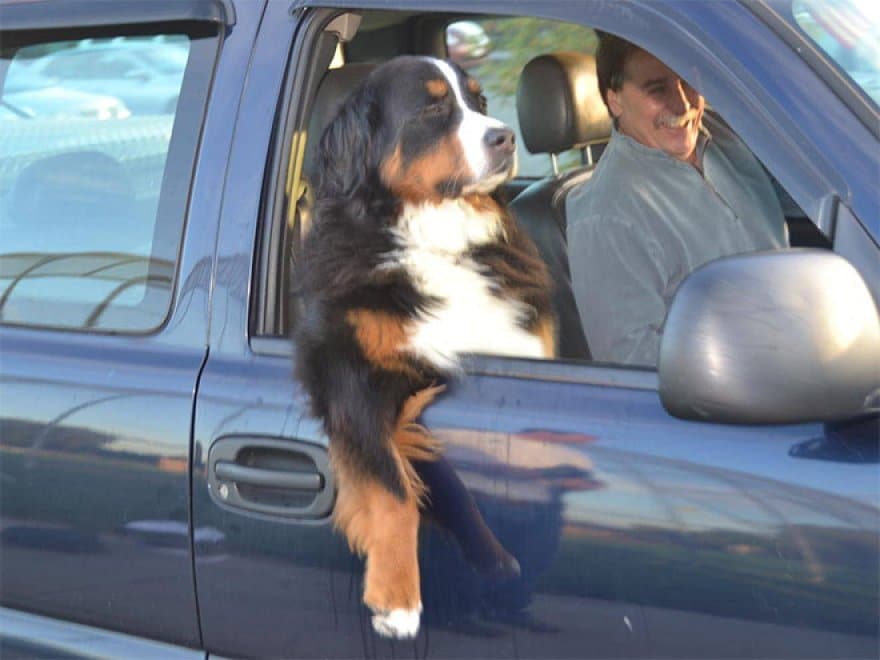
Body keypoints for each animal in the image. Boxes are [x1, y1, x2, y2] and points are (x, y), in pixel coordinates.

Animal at [296, 56, 556, 640]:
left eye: (479, 102)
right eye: (433, 108)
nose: (505, 137)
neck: (437, 237)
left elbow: (441, 480)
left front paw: (492, 559)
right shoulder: (351, 374)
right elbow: (394, 487)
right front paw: (396, 599)